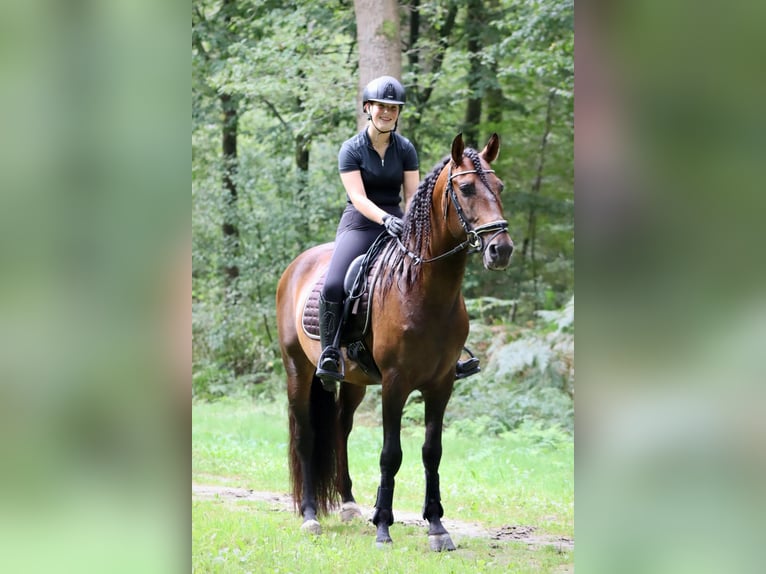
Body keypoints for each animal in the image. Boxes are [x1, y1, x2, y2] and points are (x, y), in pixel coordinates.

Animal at [275, 133, 513, 551]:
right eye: (466, 188)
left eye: (499, 187)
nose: (501, 249)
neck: (422, 287)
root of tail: (296, 266)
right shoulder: (395, 382)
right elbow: (391, 454)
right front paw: (383, 526)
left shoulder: (441, 384)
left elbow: (431, 452)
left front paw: (437, 526)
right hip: (298, 371)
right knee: (306, 436)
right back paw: (310, 516)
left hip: (353, 382)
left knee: (340, 429)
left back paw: (349, 505)